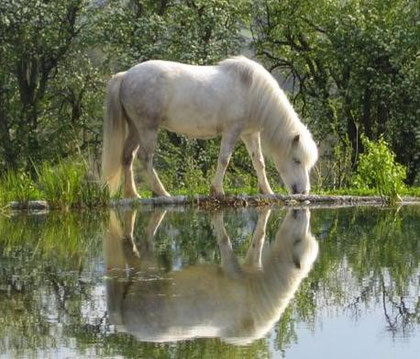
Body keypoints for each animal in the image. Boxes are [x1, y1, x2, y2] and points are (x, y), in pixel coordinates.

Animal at [102, 56, 318, 198]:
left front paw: (267, 191)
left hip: (135, 128)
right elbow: (224, 159)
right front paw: (217, 190)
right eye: (297, 160)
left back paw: (132, 194)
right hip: (147, 128)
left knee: (127, 156)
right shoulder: (232, 131)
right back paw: (162, 192)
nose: (303, 191)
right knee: (145, 158)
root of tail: (125, 75)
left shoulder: (250, 134)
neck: (252, 91)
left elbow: (259, 162)